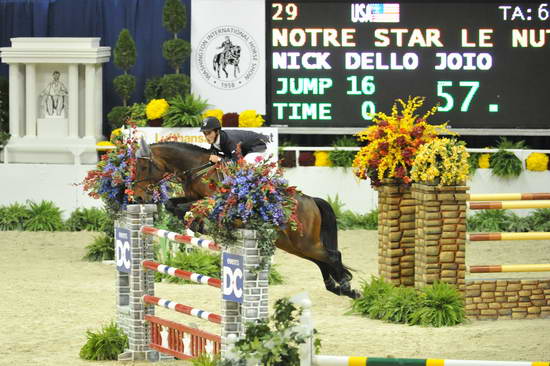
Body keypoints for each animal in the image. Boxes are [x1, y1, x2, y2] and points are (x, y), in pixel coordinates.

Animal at [134, 141, 362, 300]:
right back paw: (339, 288)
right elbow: (173, 204)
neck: (197, 168)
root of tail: (311, 200)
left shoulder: (214, 201)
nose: (137, 198)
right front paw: (194, 223)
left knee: (332, 255)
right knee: (321, 260)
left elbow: (190, 207)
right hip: (295, 245)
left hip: (304, 242)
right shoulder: (190, 196)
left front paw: (200, 223)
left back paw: (345, 285)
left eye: (143, 167)